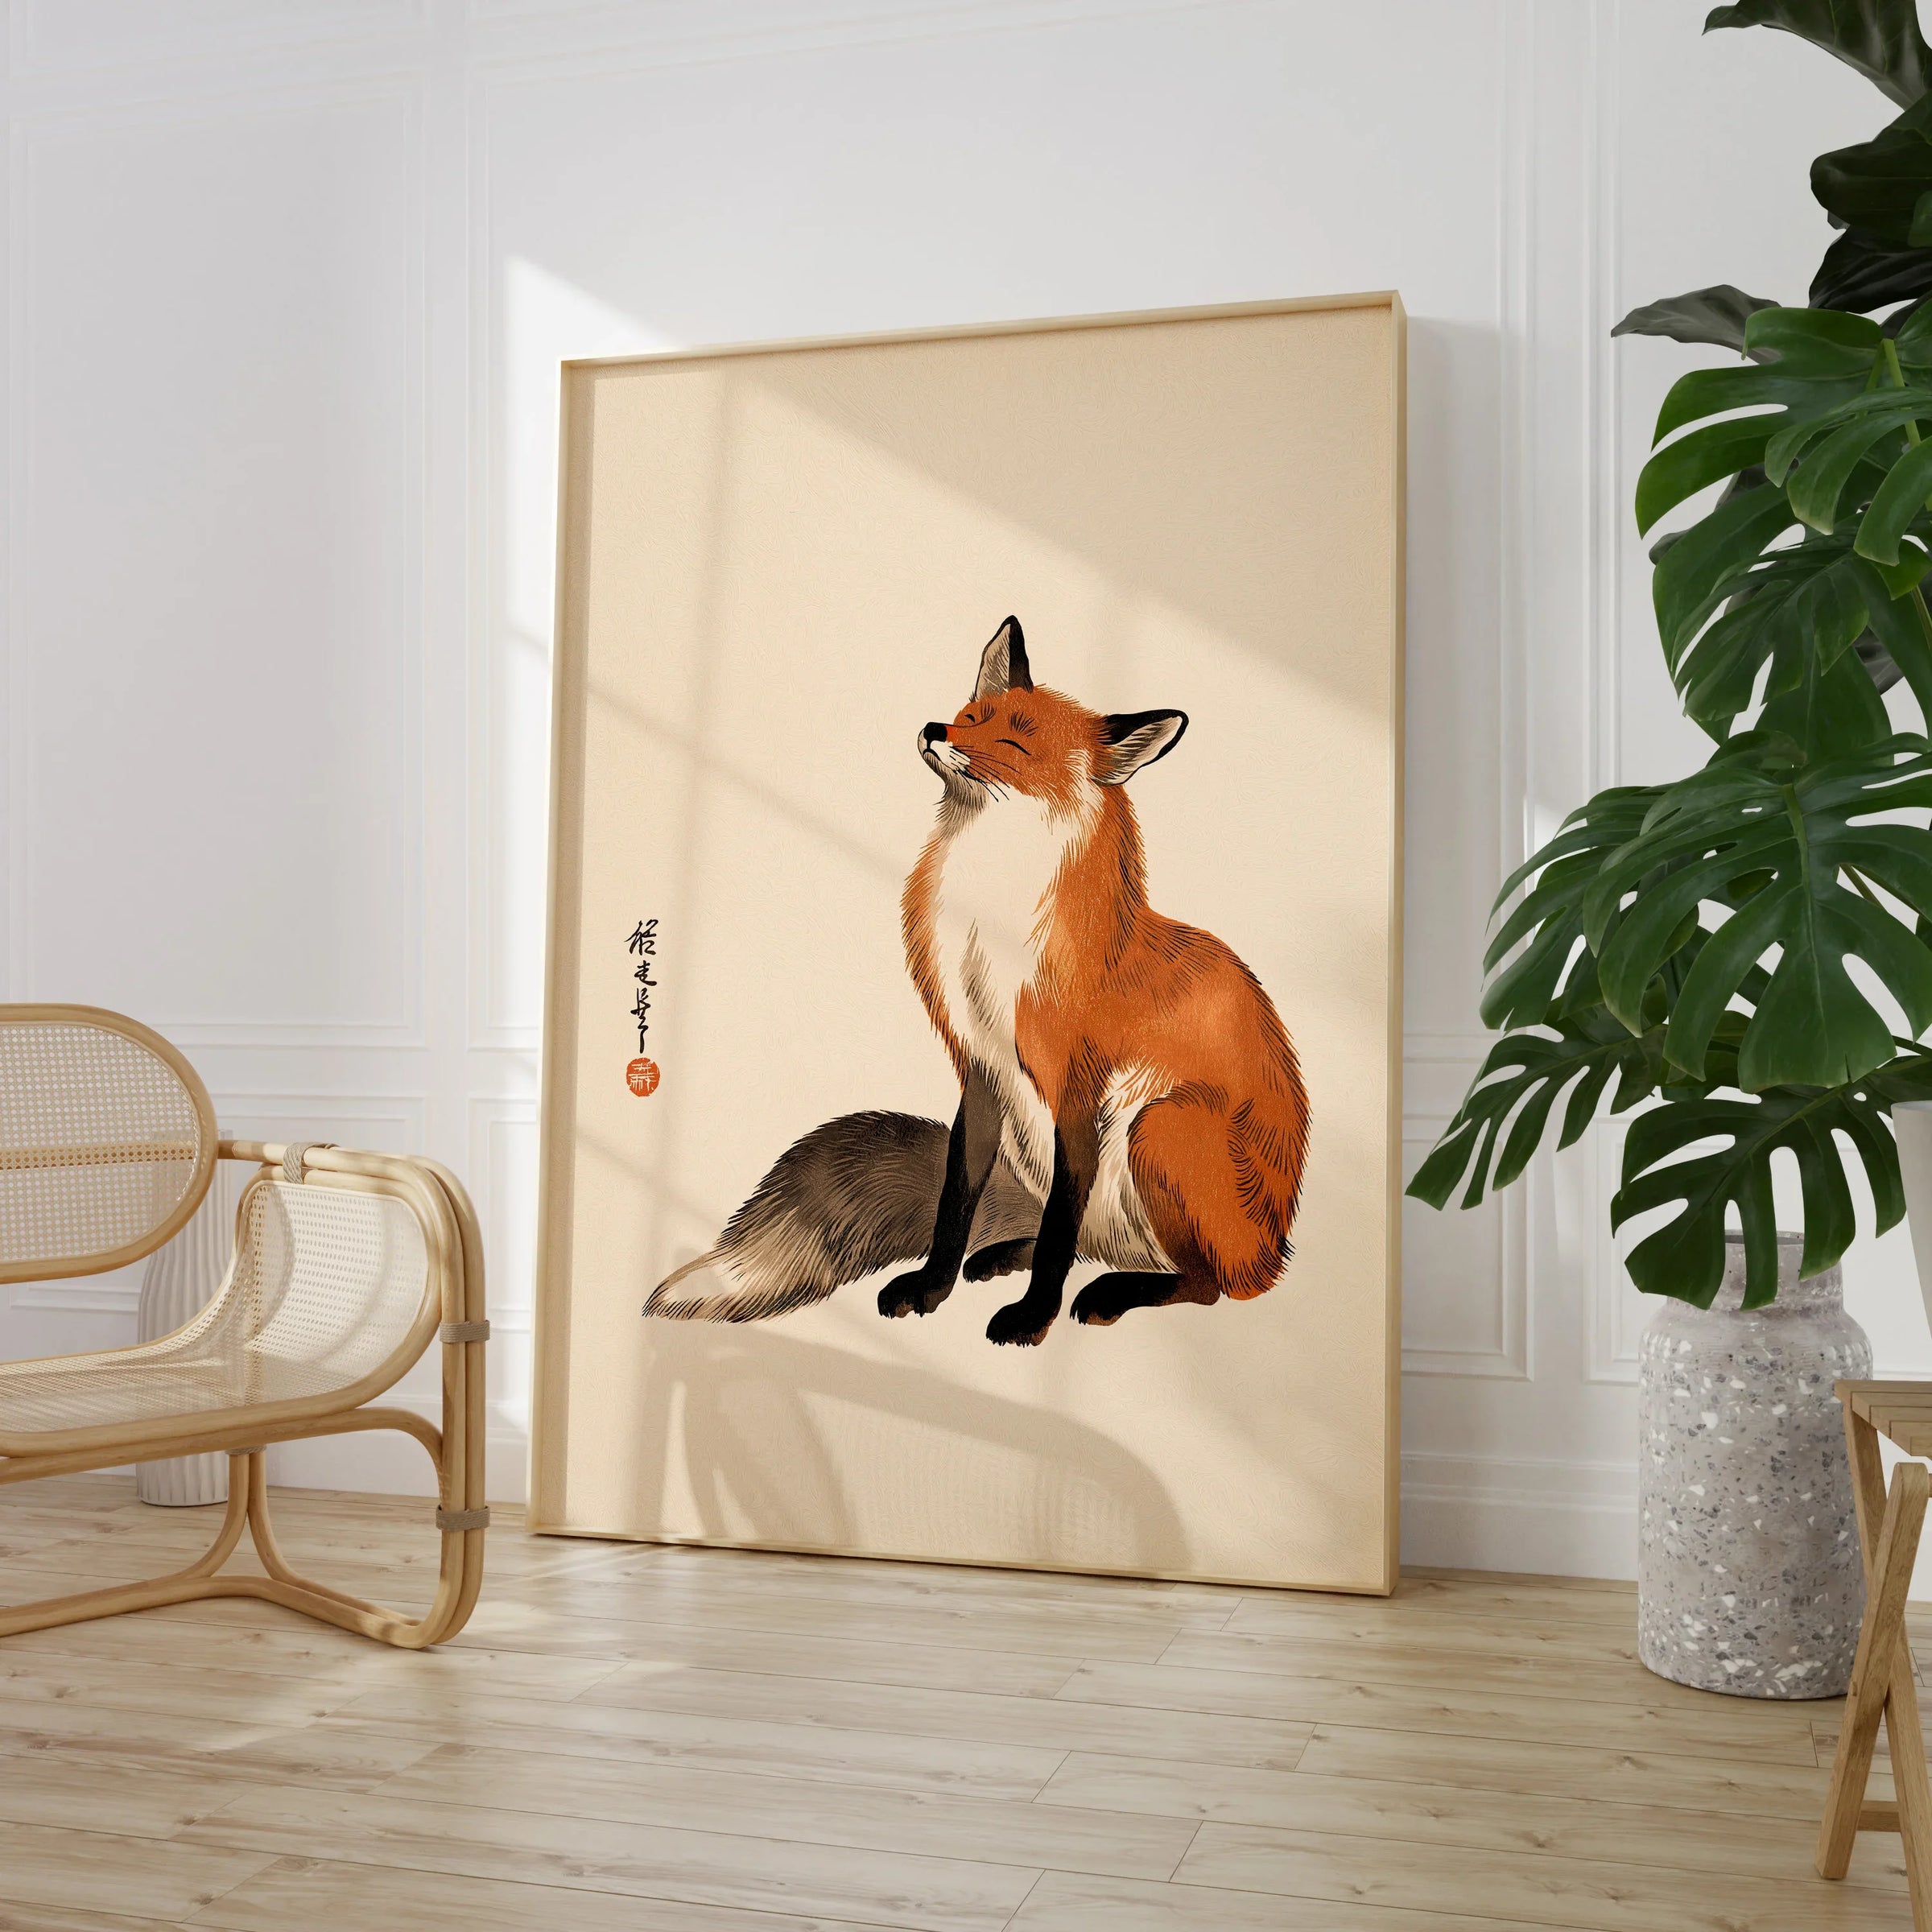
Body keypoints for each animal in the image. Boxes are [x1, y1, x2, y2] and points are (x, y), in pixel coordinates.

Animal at [645, 616, 1311, 1346]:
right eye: (970, 717)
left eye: (1014, 741)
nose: (935, 727)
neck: (984, 934)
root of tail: (1275, 1252)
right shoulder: (981, 1067)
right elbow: (956, 1202)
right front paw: (932, 1288)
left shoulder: (1076, 1093)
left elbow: (1057, 1232)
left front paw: (1032, 1317)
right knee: (1091, 1243)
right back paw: (1007, 1256)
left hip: (1160, 1128)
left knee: (1204, 1283)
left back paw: (1112, 1292)